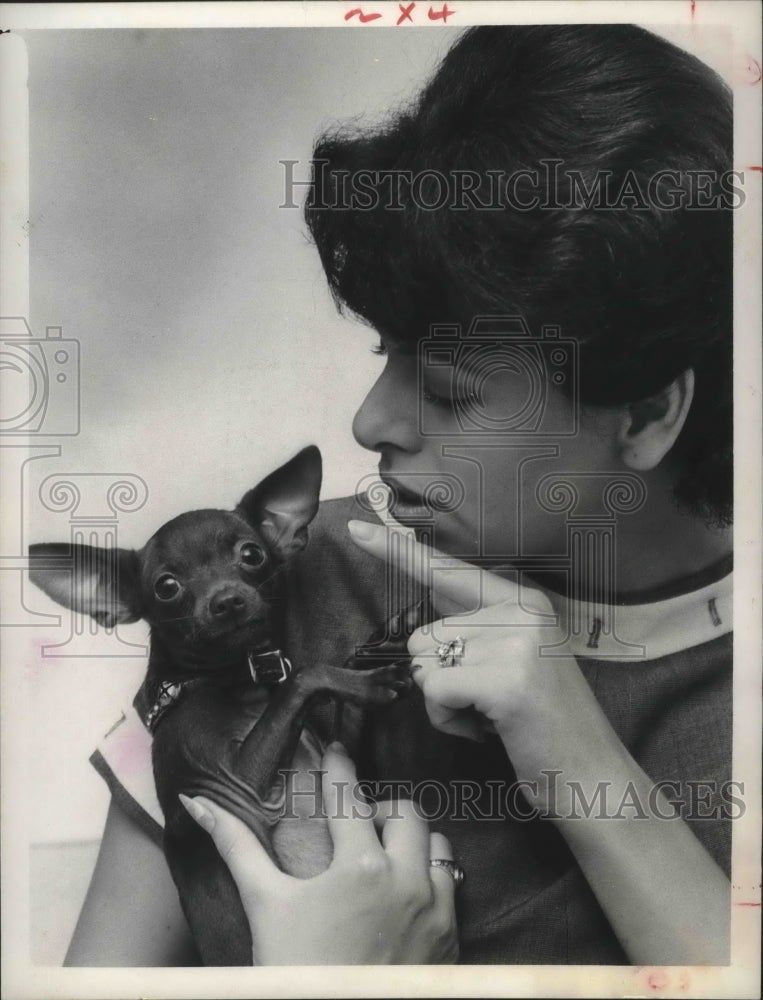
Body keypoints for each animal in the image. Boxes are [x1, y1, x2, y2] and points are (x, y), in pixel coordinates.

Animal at [29, 450, 424, 964]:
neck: (239, 681)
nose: (228, 600)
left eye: (251, 555)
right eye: (167, 587)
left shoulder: (333, 749)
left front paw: (380, 650)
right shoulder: (245, 785)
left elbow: (340, 696)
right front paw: (373, 680)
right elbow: (307, 675)